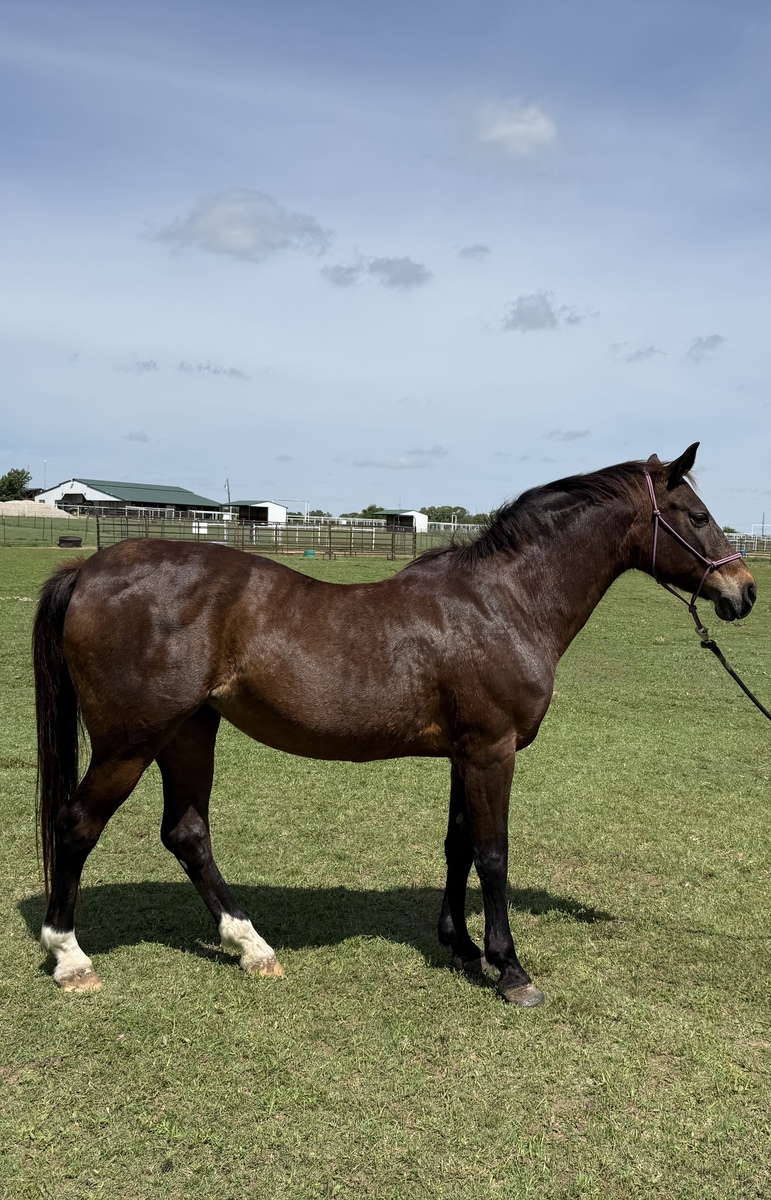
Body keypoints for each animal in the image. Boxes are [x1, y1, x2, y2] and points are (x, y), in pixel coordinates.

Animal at [33, 443, 756, 1006]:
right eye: (697, 516)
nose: (743, 592)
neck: (502, 603)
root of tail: (88, 568)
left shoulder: (465, 753)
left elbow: (458, 845)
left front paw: (460, 947)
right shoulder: (493, 751)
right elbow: (493, 854)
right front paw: (509, 968)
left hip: (189, 732)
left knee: (186, 834)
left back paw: (252, 946)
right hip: (131, 742)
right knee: (77, 825)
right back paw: (71, 958)